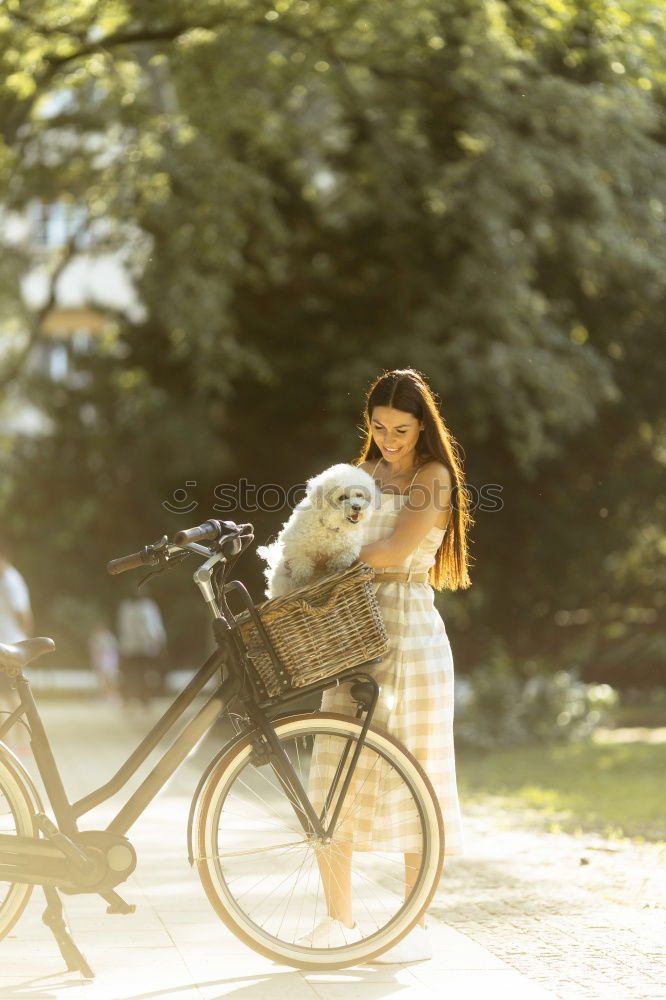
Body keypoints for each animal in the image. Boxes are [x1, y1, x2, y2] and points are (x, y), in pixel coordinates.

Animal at [255, 462, 376, 596]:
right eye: (342, 497)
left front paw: (335, 566)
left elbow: (345, 555)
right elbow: (301, 563)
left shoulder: (351, 545)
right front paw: (302, 580)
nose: (357, 507)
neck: (330, 527)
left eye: (359, 495)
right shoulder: (294, 545)